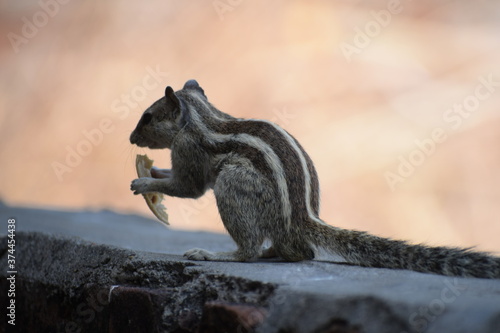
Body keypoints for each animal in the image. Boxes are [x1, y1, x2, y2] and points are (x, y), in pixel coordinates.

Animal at [130, 80, 500, 278]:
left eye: (147, 117)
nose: (132, 138)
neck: (201, 117)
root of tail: (303, 219)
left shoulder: (188, 149)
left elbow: (189, 189)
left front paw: (145, 183)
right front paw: (154, 171)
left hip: (233, 187)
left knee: (250, 251)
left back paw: (218, 254)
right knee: (298, 252)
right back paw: (273, 252)